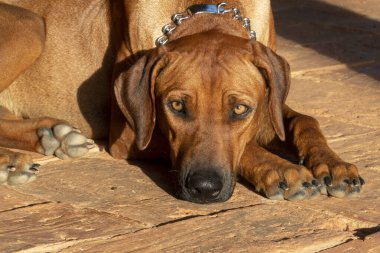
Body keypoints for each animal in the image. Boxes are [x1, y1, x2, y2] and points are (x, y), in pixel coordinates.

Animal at [0, 0, 364, 202]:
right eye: (176, 106)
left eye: (239, 109)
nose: (204, 189)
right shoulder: (129, 135)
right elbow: (248, 147)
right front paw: (280, 169)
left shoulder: (268, 101)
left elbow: (304, 120)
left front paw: (333, 164)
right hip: (31, 25)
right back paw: (11, 161)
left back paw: (51, 135)